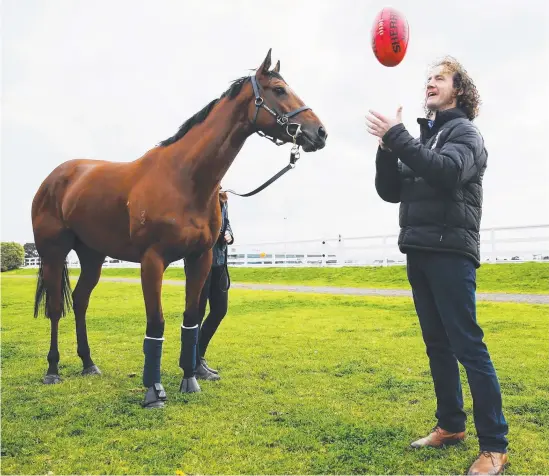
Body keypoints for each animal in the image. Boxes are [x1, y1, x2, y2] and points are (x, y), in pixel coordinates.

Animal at [31, 48, 326, 408]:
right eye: (280, 90)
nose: (320, 132)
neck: (184, 178)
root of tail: (55, 177)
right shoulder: (152, 261)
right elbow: (156, 323)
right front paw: (154, 391)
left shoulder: (198, 258)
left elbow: (191, 318)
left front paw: (190, 379)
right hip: (53, 254)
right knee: (56, 308)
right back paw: (52, 370)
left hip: (92, 257)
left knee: (81, 301)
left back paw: (89, 364)